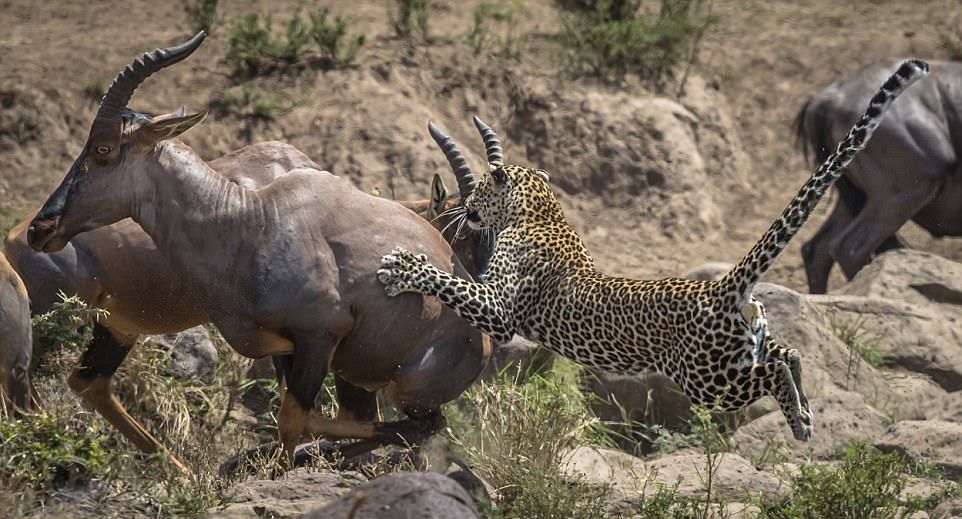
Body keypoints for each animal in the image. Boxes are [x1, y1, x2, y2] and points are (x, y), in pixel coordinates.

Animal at [26, 32, 492, 472]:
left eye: (104, 148)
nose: (41, 227)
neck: (255, 216)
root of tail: (483, 339)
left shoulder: (318, 338)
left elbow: (294, 417)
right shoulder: (285, 349)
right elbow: (296, 415)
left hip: (398, 386)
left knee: (420, 425)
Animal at [378, 61, 928, 442]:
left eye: (477, 193)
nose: (467, 210)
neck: (542, 210)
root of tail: (720, 287)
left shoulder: (499, 310)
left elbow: (449, 282)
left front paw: (402, 267)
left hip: (710, 378)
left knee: (772, 371)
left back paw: (799, 418)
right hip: (743, 348)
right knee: (789, 353)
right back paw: (805, 416)